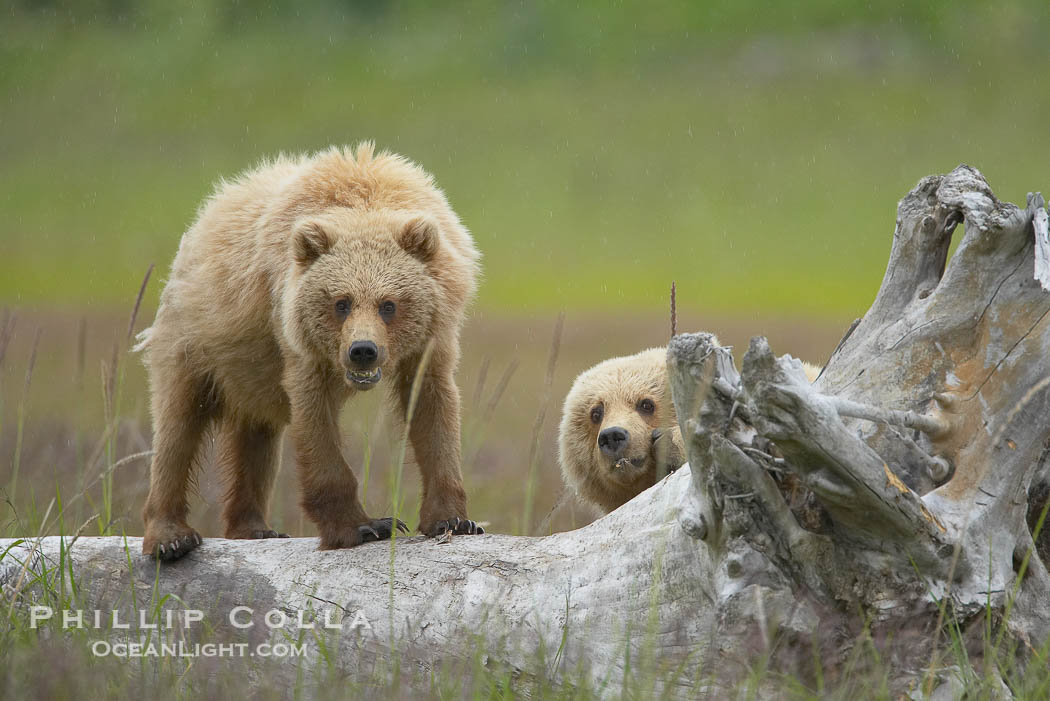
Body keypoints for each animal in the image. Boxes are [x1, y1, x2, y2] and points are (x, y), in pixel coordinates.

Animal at [136, 143, 484, 561]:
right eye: (341, 302)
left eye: (389, 304)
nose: (362, 351)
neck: (366, 198)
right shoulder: (297, 338)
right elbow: (315, 421)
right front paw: (367, 525)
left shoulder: (431, 338)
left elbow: (433, 409)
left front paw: (454, 520)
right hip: (194, 340)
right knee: (177, 426)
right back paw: (171, 537)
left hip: (250, 370)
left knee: (256, 436)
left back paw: (254, 528)